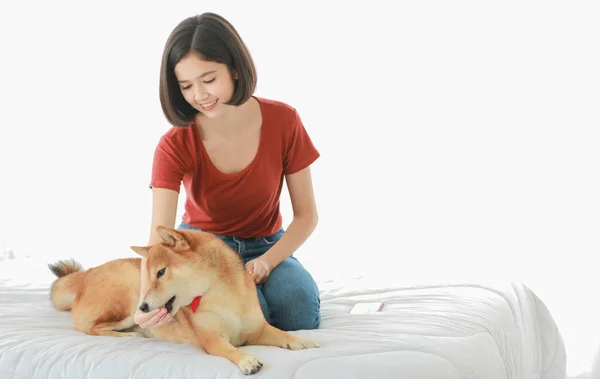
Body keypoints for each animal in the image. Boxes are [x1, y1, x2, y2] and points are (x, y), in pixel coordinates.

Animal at [48, 227, 318, 376]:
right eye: (148, 276)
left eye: (160, 272)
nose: (143, 308)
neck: (223, 297)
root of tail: (85, 275)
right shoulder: (213, 339)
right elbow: (230, 349)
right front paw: (247, 360)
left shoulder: (258, 329)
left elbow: (281, 334)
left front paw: (301, 341)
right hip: (125, 301)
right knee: (94, 328)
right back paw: (129, 335)